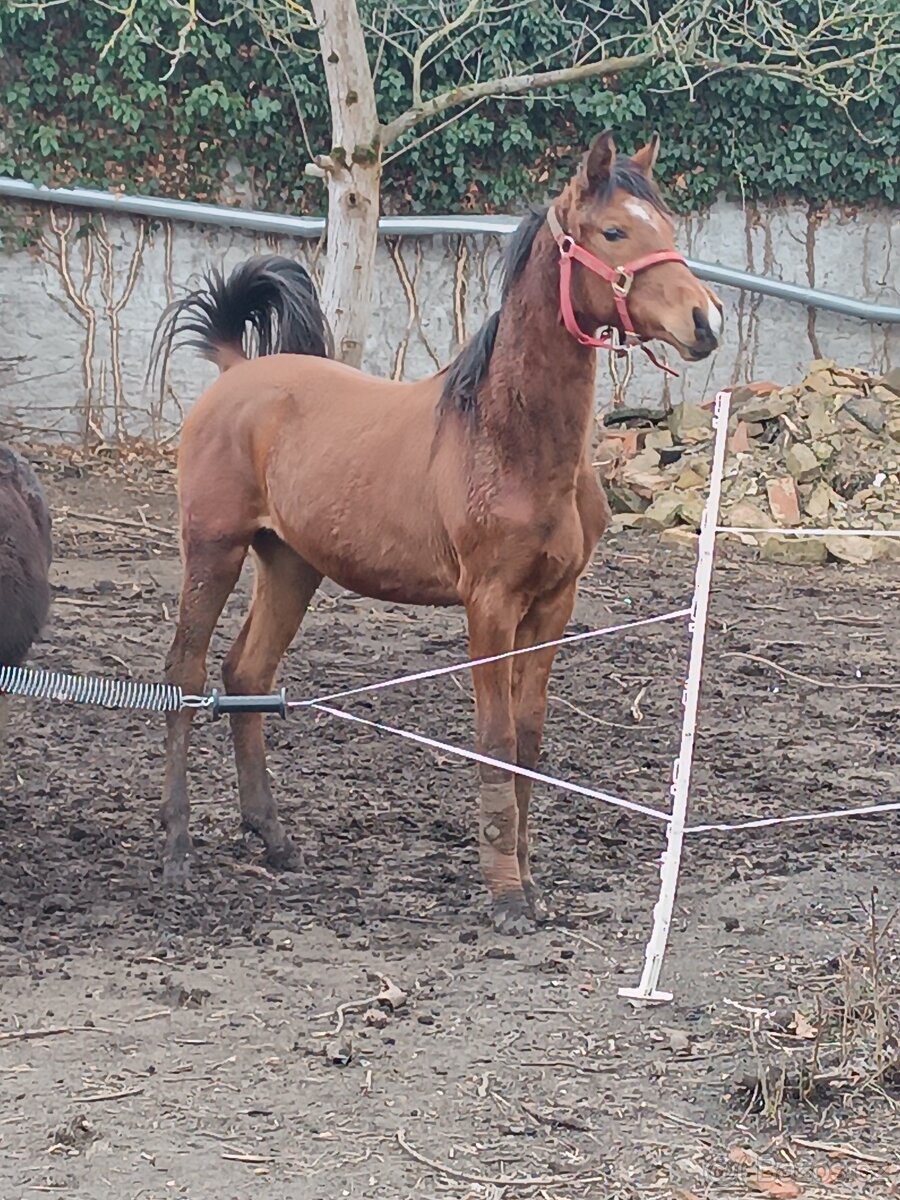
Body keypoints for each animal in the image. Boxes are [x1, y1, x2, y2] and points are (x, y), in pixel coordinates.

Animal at [151, 130, 722, 933]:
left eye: (666, 224)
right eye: (614, 232)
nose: (706, 321)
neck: (506, 440)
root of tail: (236, 372)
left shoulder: (553, 606)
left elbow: (528, 740)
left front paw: (531, 883)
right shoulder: (489, 605)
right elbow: (495, 737)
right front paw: (506, 894)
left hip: (291, 565)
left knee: (247, 675)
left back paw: (275, 840)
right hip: (214, 550)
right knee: (186, 675)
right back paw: (176, 847)